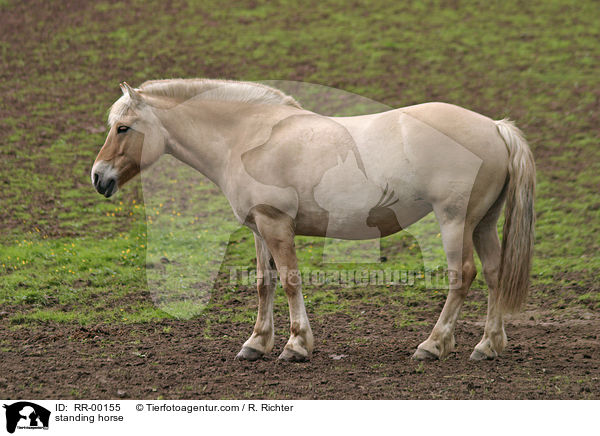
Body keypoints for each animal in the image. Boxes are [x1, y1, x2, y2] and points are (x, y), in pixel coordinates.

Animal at [92, 78, 536, 362]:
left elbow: (289, 282)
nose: (98, 177)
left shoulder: (276, 225)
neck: (247, 137)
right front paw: (256, 344)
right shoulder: (259, 229)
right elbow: (264, 284)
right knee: (494, 273)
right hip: (482, 223)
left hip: (455, 221)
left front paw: (296, 346)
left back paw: (433, 345)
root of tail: (495, 127)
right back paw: (488, 346)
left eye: (123, 127)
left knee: (463, 275)